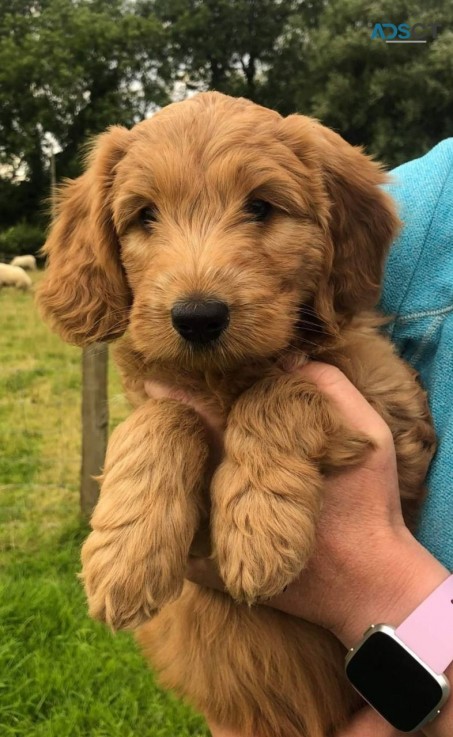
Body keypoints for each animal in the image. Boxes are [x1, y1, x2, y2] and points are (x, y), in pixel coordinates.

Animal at [36, 93, 434, 736]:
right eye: (145, 215)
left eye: (261, 207)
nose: (197, 318)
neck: (221, 376)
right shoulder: (154, 392)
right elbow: (164, 418)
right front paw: (125, 553)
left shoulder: (397, 417)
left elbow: (278, 389)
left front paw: (258, 524)